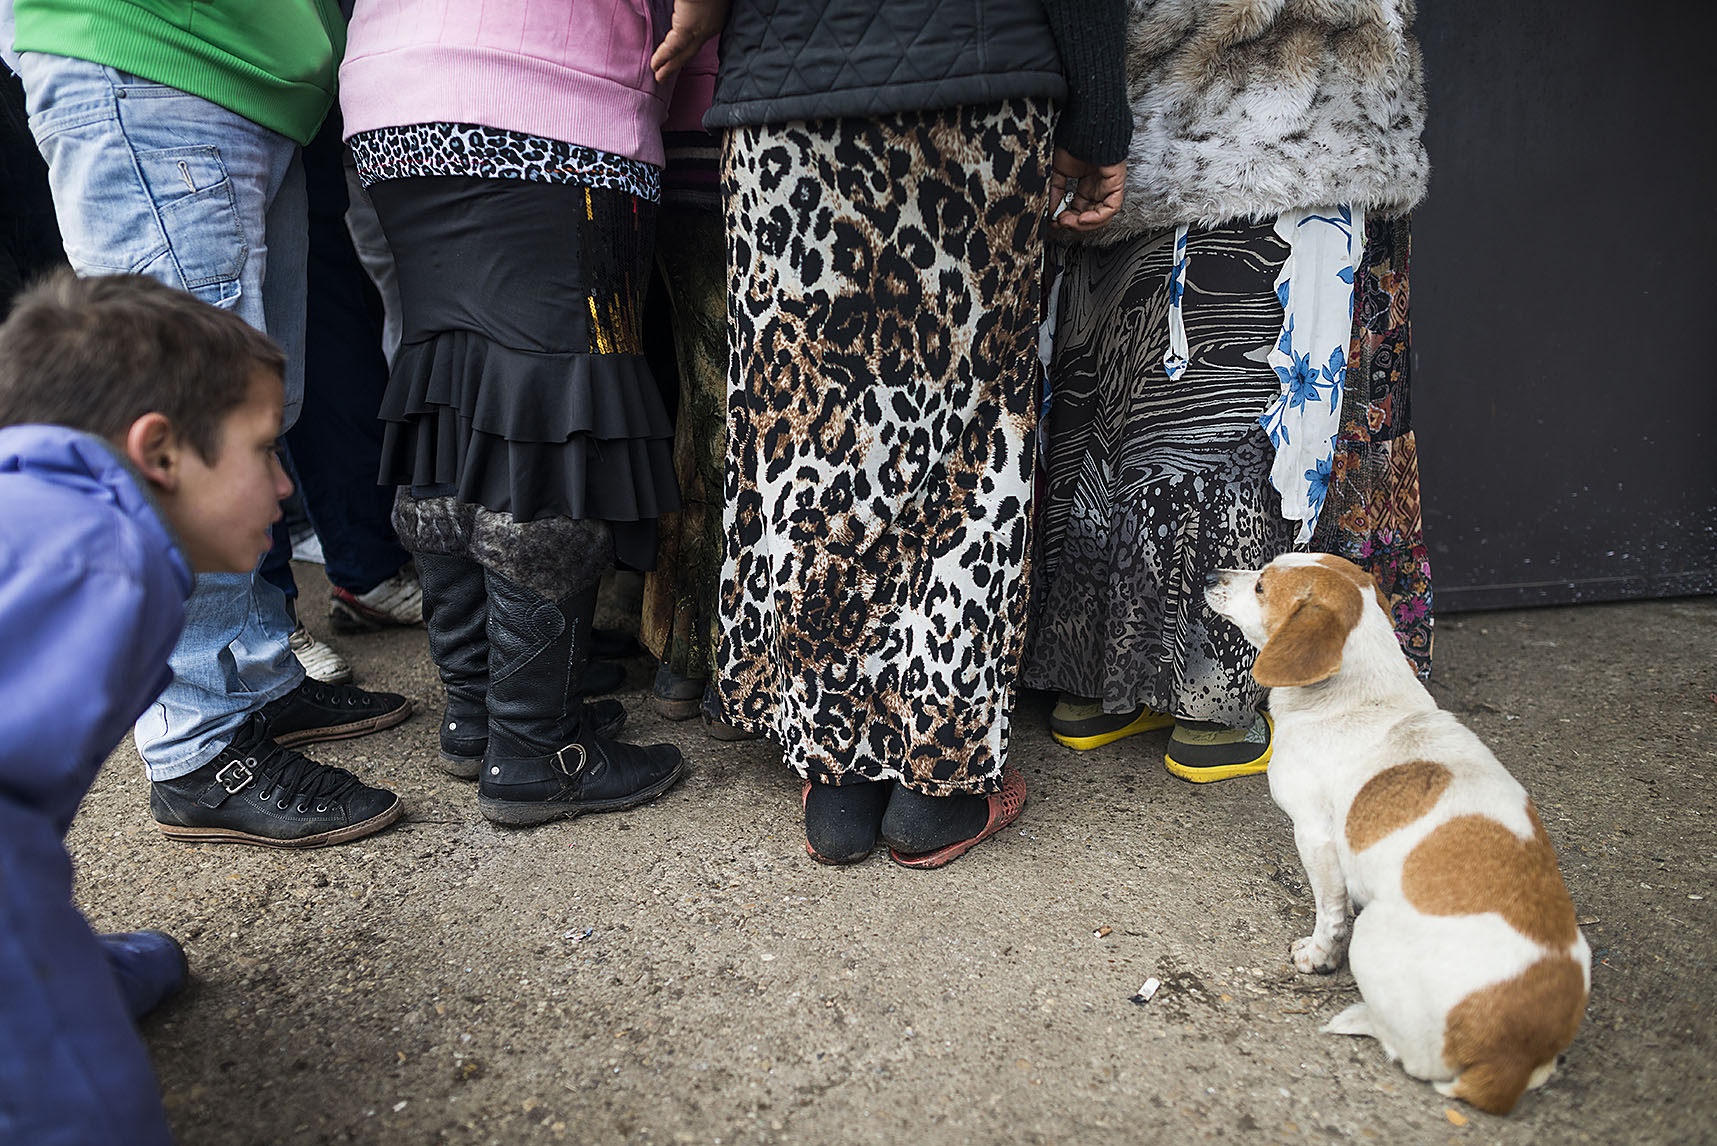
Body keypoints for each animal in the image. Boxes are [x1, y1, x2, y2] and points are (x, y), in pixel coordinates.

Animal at [1208, 553, 1579, 1113]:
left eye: (1261, 586)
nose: (1210, 574)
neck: (1364, 695)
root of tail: (1508, 1065)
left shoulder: (1315, 836)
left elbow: (1330, 914)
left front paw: (1318, 958)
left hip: (1373, 938)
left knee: (1413, 1056)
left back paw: (1360, 1019)